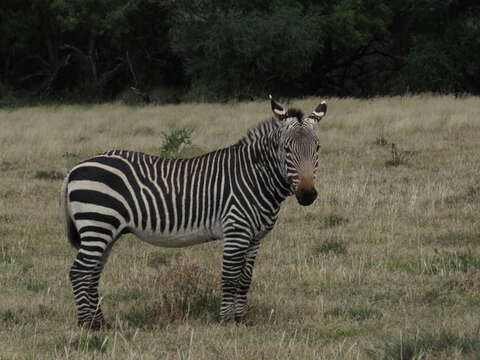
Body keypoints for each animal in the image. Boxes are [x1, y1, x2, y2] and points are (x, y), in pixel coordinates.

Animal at [61, 96, 326, 330]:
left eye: (317, 148)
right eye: (286, 149)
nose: (307, 195)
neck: (254, 178)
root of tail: (74, 169)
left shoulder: (255, 238)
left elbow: (245, 280)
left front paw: (241, 319)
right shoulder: (236, 231)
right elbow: (230, 277)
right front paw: (227, 321)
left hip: (106, 231)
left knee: (92, 273)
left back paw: (100, 323)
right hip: (98, 223)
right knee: (79, 272)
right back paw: (87, 326)